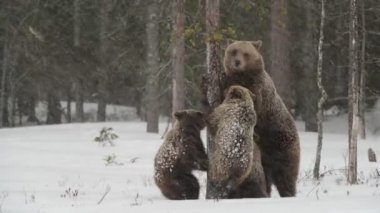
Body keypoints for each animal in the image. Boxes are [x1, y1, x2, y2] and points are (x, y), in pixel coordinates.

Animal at [223, 39, 300, 196]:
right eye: (234, 51)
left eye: (246, 53)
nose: (237, 62)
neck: (243, 77)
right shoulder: (230, 84)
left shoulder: (259, 91)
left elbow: (256, 109)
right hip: (265, 159)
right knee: (267, 179)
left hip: (283, 144)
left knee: (286, 176)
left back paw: (288, 192)